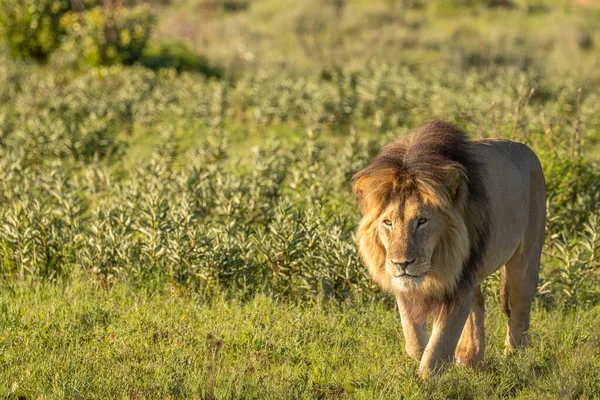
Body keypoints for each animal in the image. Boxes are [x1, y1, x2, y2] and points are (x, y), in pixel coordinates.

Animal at [354, 120, 548, 376]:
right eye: (387, 222)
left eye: (422, 221)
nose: (402, 263)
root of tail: (528, 151)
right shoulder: (405, 282)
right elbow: (413, 340)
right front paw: (425, 355)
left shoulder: (460, 279)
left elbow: (439, 345)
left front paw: (428, 375)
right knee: (479, 303)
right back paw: (469, 357)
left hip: (525, 258)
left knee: (520, 310)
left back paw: (515, 357)